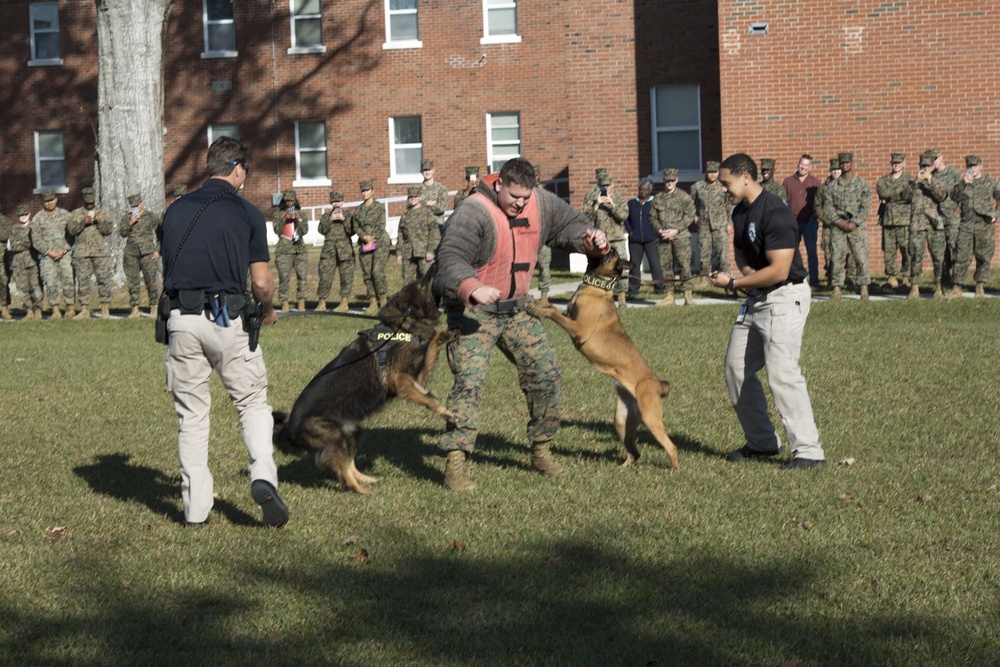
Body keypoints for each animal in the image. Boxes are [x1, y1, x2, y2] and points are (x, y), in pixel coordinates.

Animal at [270, 266, 450, 496]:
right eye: (422, 282)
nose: (434, 265)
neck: (401, 324)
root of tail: (289, 430)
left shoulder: (417, 379)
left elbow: (431, 354)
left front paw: (443, 335)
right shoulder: (400, 379)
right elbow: (430, 399)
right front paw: (446, 412)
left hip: (353, 431)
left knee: (348, 464)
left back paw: (366, 479)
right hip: (335, 436)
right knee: (343, 473)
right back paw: (362, 491)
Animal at [524, 249, 680, 470]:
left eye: (610, 254)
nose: (606, 247)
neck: (596, 286)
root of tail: (658, 384)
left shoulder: (578, 329)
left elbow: (553, 311)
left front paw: (537, 309)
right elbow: (550, 304)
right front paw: (536, 302)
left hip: (651, 419)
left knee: (671, 446)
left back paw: (672, 468)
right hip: (622, 421)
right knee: (635, 453)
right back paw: (622, 468)